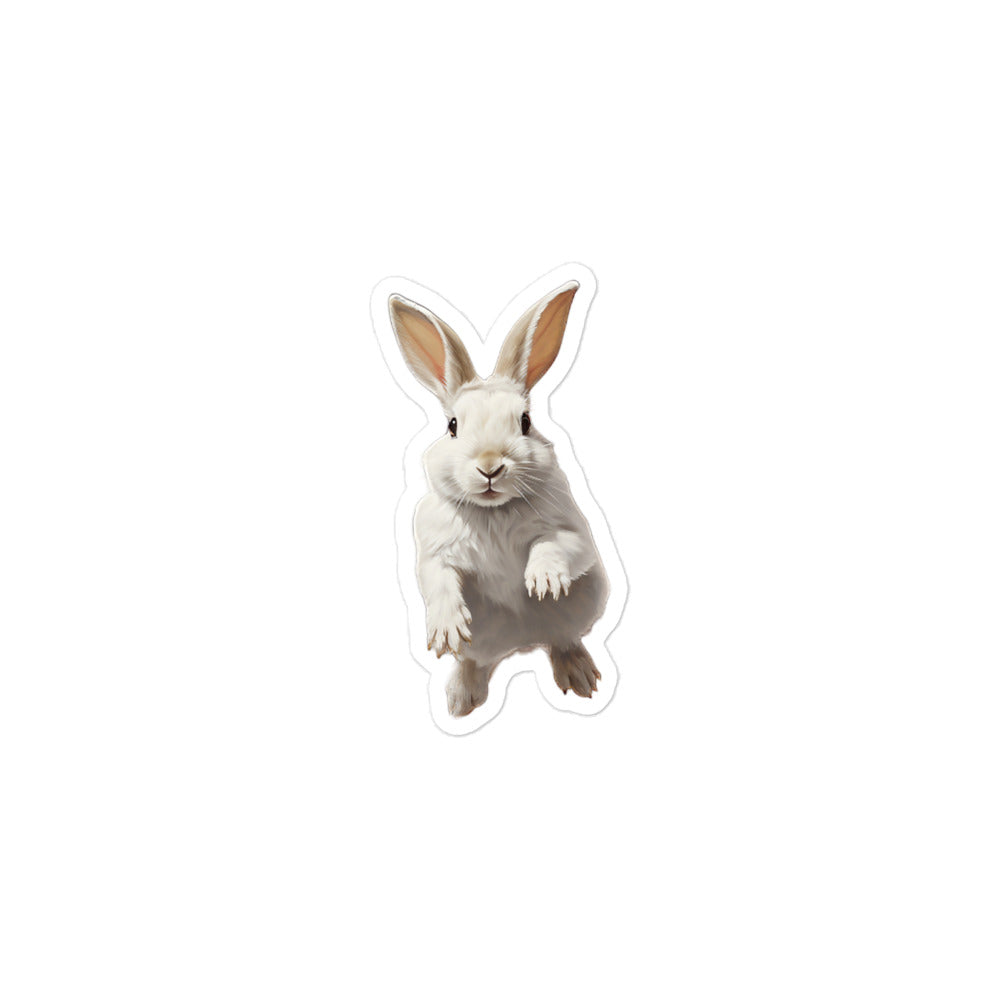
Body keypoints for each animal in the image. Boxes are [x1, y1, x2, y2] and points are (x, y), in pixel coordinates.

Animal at [388, 281, 610, 717]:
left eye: (525, 422)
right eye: (452, 425)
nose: (490, 466)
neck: (493, 511)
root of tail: (519, 645)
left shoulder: (574, 531)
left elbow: (557, 545)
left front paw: (542, 580)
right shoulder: (433, 551)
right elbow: (438, 580)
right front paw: (446, 630)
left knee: (563, 639)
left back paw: (580, 676)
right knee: (475, 659)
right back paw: (461, 699)